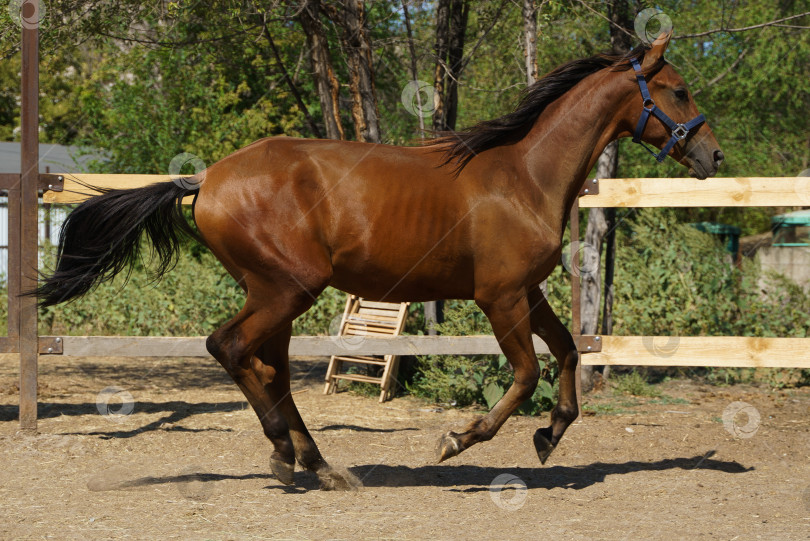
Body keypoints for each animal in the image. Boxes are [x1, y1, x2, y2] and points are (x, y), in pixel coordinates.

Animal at [38, 32, 720, 490]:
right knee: (230, 349)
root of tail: (205, 180)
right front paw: (457, 440)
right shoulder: (499, 298)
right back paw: (288, 456)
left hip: (274, 295)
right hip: (287, 290)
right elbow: (527, 375)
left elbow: (571, 352)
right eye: (679, 90)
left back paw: (313, 463)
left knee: (270, 369)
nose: (713, 155)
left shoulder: (528, 292)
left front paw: (549, 436)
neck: (524, 176)